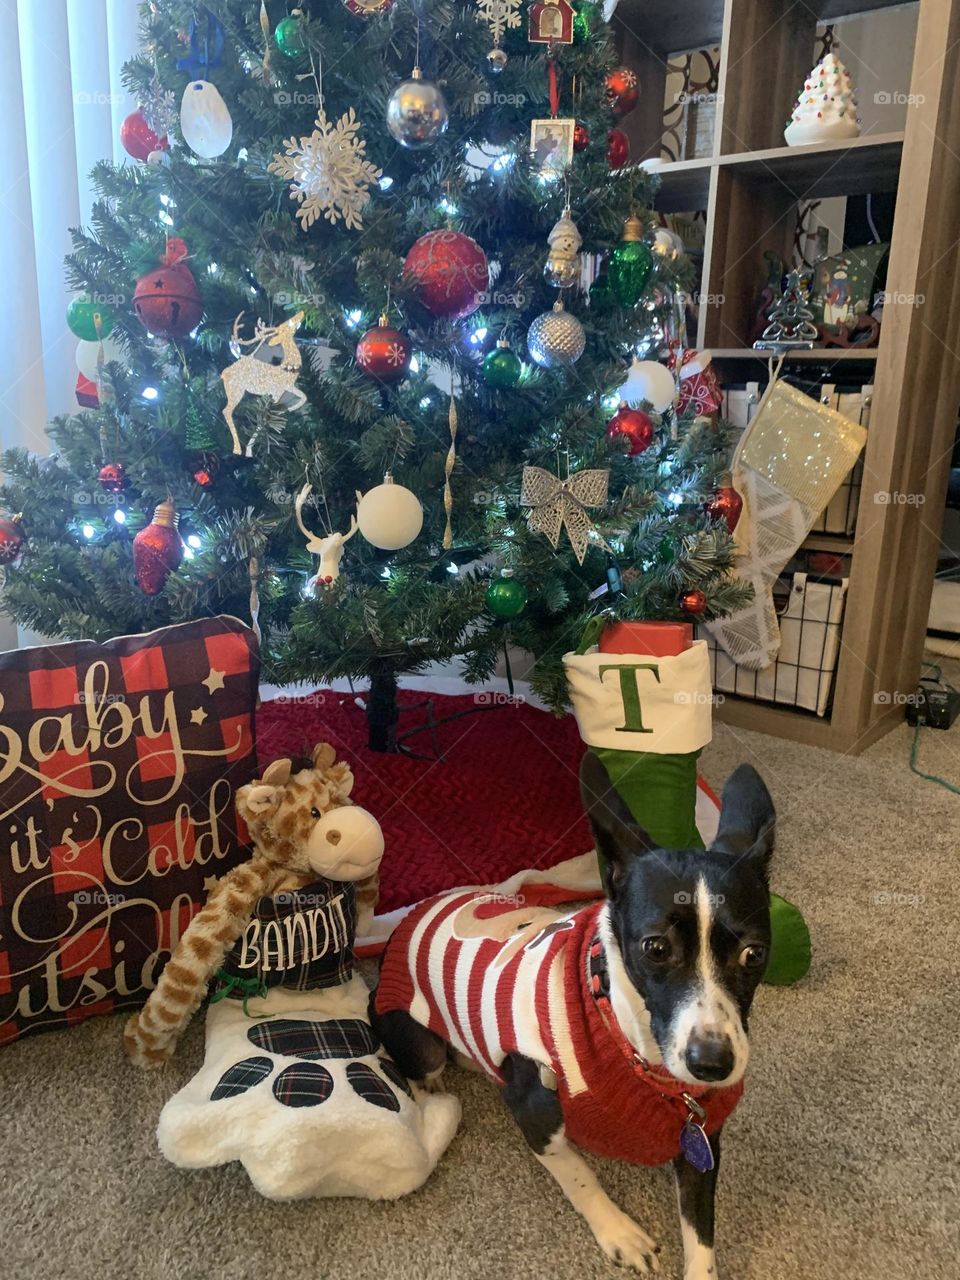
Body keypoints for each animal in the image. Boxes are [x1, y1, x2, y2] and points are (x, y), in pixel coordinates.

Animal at [371, 752, 778, 1274]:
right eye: (655, 948)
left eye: (754, 954)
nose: (712, 1064)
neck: (629, 1045)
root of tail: (416, 914)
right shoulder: (534, 1113)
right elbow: (580, 1176)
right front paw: (620, 1231)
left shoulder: (702, 1145)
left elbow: (702, 1241)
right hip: (420, 1042)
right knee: (426, 1067)